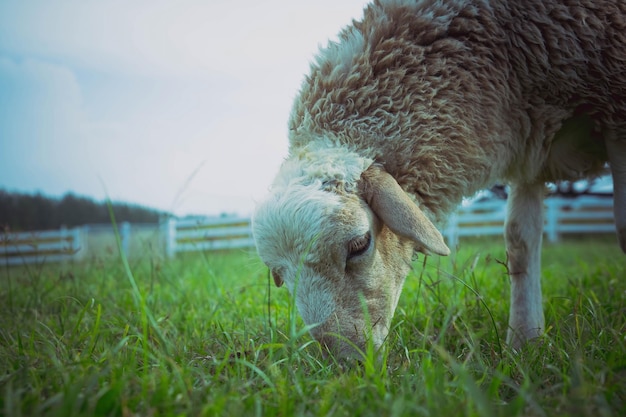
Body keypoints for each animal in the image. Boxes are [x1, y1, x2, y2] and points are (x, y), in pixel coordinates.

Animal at [250, 0, 624, 358]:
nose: (347, 362)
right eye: (280, 275)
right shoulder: (530, 138)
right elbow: (520, 241)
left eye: (360, 245)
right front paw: (525, 342)